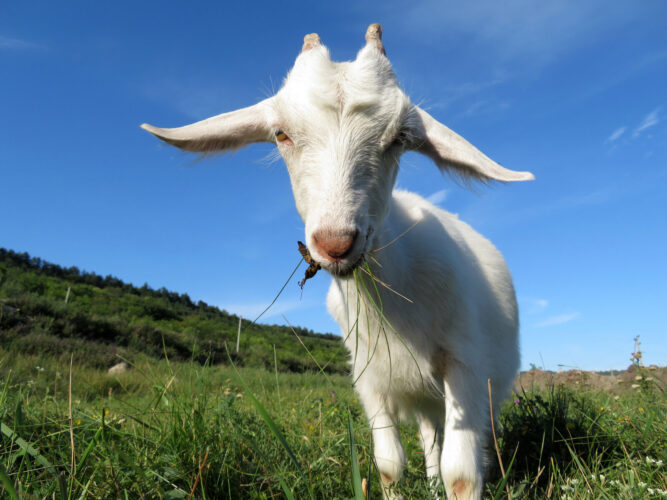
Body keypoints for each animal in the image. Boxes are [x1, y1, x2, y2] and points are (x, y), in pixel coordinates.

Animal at [142, 24, 533, 499]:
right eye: (281, 134)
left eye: (399, 138)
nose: (335, 243)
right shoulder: (370, 375)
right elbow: (389, 465)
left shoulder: (465, 364)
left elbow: (462, 473)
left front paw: (461, 481)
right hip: (423, 396)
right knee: (428, 435)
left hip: (488, 384)